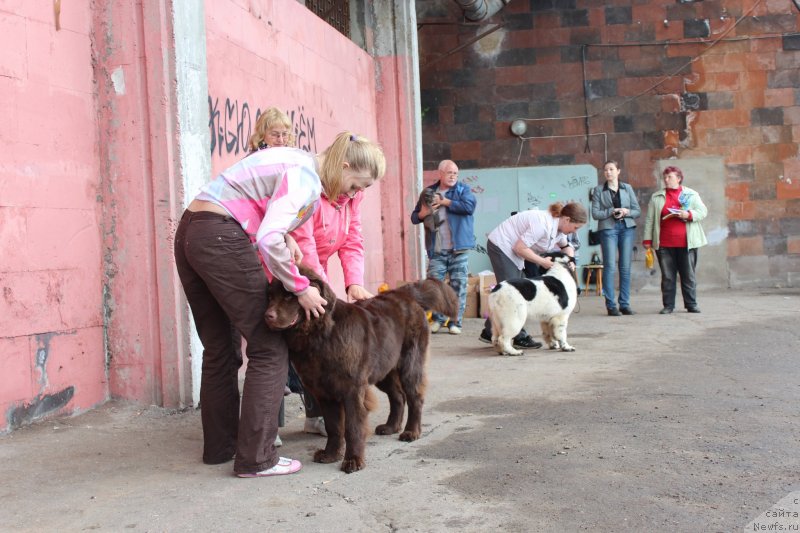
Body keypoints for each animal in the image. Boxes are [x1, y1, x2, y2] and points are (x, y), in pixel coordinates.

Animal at [266, 268, 456, 472]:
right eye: (270, 297)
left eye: (289, 296)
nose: (268, 316)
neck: (320, 335)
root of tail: (404, 294)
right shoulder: (324, 391)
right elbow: (333, 427)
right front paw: (330, 454)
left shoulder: (352, 389)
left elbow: (352, 427)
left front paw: (353, 460)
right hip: (383, 369)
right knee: (398, 396)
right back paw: (391, 427)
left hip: (410, 364)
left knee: (414, 397)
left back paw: (411, 432)